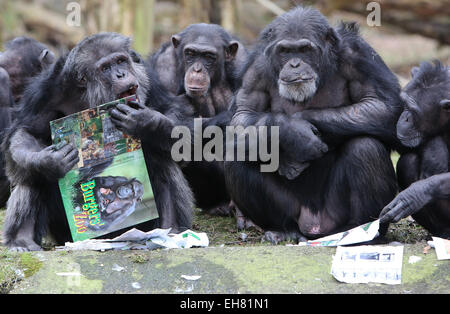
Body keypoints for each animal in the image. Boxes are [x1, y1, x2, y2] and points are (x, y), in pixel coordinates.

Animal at [3, 33, 193, 251]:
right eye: (105, 68)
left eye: (120, 61)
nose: (121, 74)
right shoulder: (45, 92)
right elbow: (26, 131)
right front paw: (49, 161)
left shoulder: (148, 76)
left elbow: (171, 111)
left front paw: (148, 123)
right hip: (66, 234)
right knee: (30, 172)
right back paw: (21, 240)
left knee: (161, 157)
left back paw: (171, 230)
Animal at [150, 23, 248, 216]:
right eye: (190, 54)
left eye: (208, 56)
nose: (197, 69)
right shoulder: (164, 68)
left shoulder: (243, 61)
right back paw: (217, 205)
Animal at [223, 6, 402, 243]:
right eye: (286, 51)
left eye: (304, 49)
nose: (294, 64)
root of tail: (314, 226)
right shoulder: (255, 70)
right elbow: (241, 118)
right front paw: (292, 133)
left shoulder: (360, 56)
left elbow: (385, 107)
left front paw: (298, 127)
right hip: (295, 211)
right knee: (239, 156)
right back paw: (282, 230)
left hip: (334, 214)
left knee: (366, 147)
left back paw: (360, 232)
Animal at [380, 62, 450, 238]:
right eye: (404, 104)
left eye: (413, 109)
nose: (404, 117)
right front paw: (435, 151)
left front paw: (413, 194)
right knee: (407, 162)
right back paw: (442, 232)